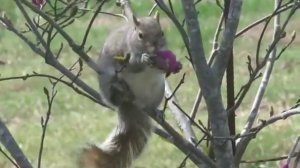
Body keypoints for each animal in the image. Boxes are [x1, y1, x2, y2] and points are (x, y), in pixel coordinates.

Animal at [78, 12, 180, 167]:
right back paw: (119, 90)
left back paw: (157, 111)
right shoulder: (125, 52)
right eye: (140, 35)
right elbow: (133, 66)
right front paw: (143, 59)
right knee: (114, 93)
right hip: (107, 84)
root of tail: (133, 103)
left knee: (152, 104)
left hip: (159, 91)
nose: (155, 47)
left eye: (162, 32)